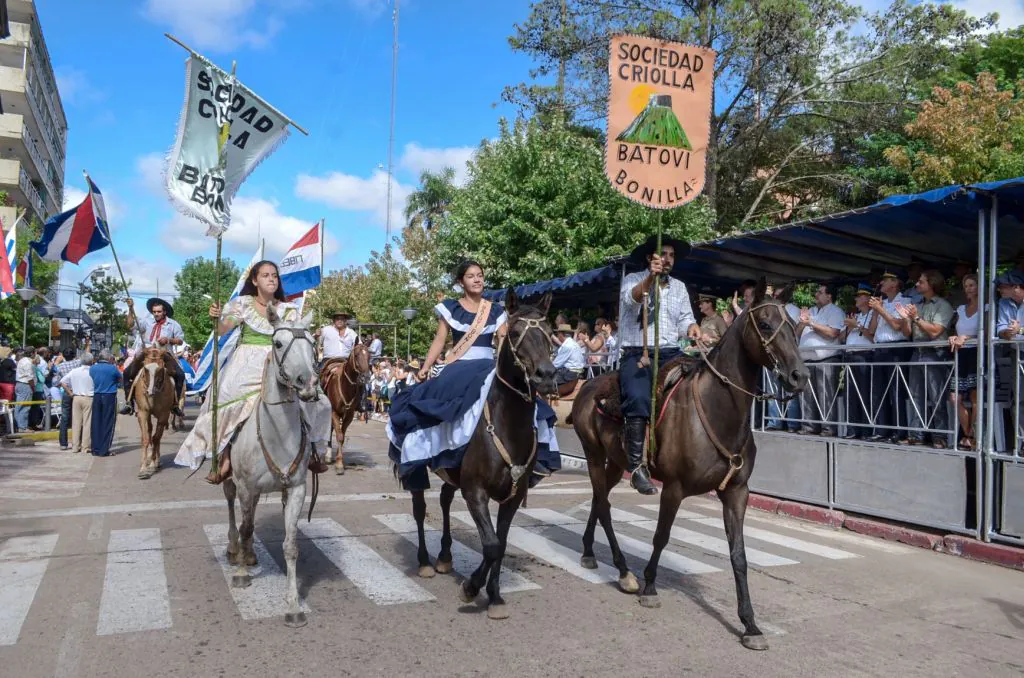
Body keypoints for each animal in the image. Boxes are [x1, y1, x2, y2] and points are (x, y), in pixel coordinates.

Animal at [135, 348, 177, 481]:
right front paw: (143, 469)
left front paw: (153, 464)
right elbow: (146, 438)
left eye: (161, 368)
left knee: (157, 438)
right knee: (150, 431)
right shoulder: (143, 413)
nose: (150, 391)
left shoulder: (164, 415)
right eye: (145, 367)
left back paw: (156, 462)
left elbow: (156, 438)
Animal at [223, 305, 319, 630]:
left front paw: (293, 605)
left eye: (313, 342)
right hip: (232, 483)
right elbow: (246, 527)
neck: (276, 434)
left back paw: (250, 554)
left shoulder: (297, 489)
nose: (308, 383)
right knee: (234, 512)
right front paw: (241, 575)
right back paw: (235, 551)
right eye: (277, 343)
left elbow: (290, 545)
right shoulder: (245, 485)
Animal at [319, 342, 372, 475]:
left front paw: (339, 462)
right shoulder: (334, 412)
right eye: (357, 355)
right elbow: (339, 436)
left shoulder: (349, 415)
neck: (345, 386)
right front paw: (338, 465)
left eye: (369, 355)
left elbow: (342, 437)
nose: (365, 377)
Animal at [573, 280, 802, 655]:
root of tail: (588, 386)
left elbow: (739, 556)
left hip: (615, 462)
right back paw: (624, 572)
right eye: (766, 325)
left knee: (598, 499)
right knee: (604, 507)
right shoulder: (674, 488)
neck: (718, 411)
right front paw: (651, 587)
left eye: (795, 327)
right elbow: (661, 537)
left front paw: (750, 625)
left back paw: (591, 552)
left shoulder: (736, 493)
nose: (800, 375)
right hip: (592, 454)